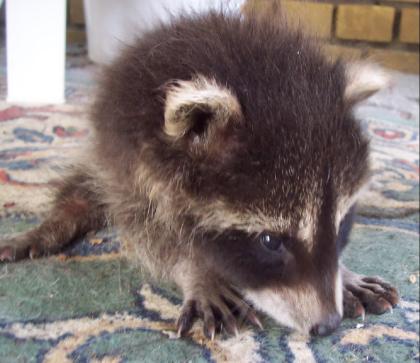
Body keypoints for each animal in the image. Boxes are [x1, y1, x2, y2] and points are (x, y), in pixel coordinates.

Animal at [1, 9, 398, 338]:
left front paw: (342, 273)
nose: (327, 326)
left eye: (341, 224)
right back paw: (52, 224)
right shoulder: (131, 164)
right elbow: (152, 234)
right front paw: (197, 271)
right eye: (270, 241)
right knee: (83, 191)